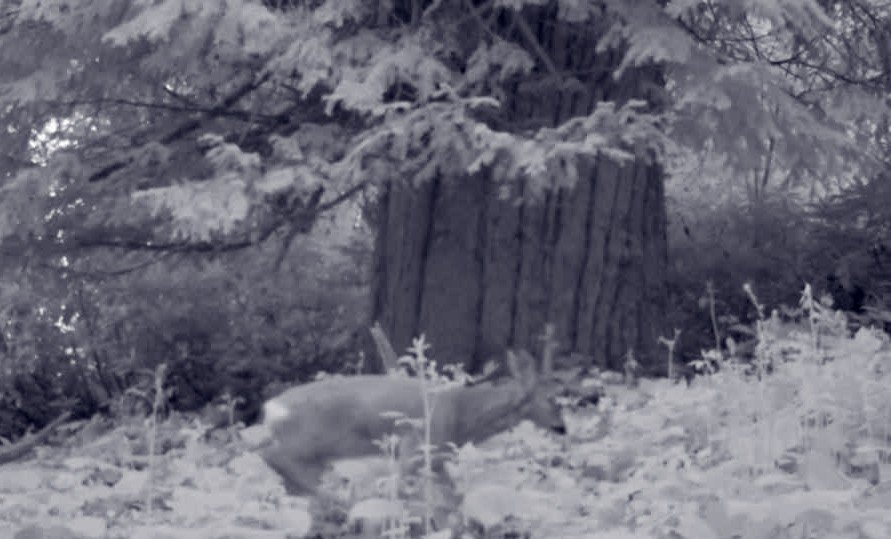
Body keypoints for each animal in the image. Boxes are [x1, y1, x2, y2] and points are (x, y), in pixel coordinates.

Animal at [258, 348, 568, 496]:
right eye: (553, 398)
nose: (562, 427)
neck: (461, 416)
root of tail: (272, 407)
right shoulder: (415, 448)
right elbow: (399, 487)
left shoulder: (437, 459)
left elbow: (453, 493)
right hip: (310, 441)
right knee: (272, 456)